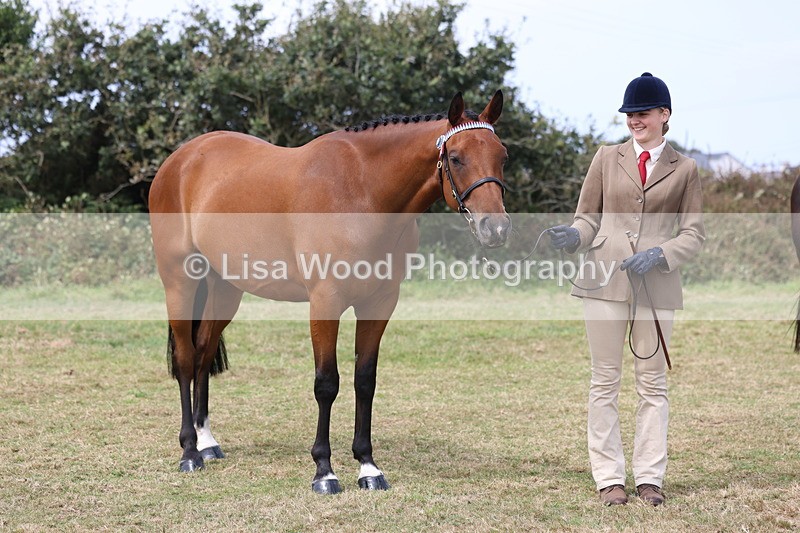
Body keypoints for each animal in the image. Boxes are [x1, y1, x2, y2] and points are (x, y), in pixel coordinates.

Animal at [148, 91, 511, 494]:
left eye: (503, 156)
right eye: (456, 157)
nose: (495, 228)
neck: (362, 191)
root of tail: (180, 160)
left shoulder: (379, 303)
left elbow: (364, 381)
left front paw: (368, 467)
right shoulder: (325, 302)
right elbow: (327, 384)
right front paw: (324, 471)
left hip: (225, 289)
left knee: (203, 352)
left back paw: (207, 442)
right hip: (179, 280)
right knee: (185, 358)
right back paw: (189, 452)